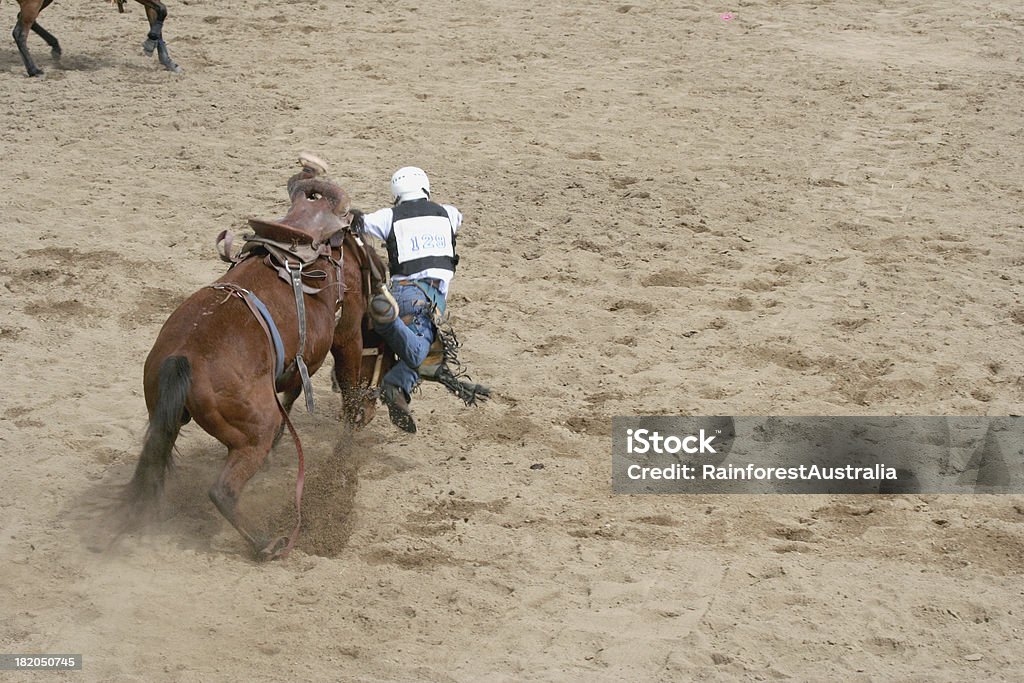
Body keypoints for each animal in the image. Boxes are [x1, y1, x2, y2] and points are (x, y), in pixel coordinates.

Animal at [7, 0, 180, 76]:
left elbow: (158, 17)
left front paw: (168, 62)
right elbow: (162, 11)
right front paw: (149, 43)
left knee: (21, 18)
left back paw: (55, 46)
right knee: (19, 32)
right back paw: (33, 70)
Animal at [123, 166, 385, 561]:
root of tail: (182, 357)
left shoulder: (296, 363)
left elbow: (292, 392)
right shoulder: (348, 333)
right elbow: (348, 379)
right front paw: (354, 421)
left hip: (163, 419)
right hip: (252, 433)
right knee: (223, 491)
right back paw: (267, 543)